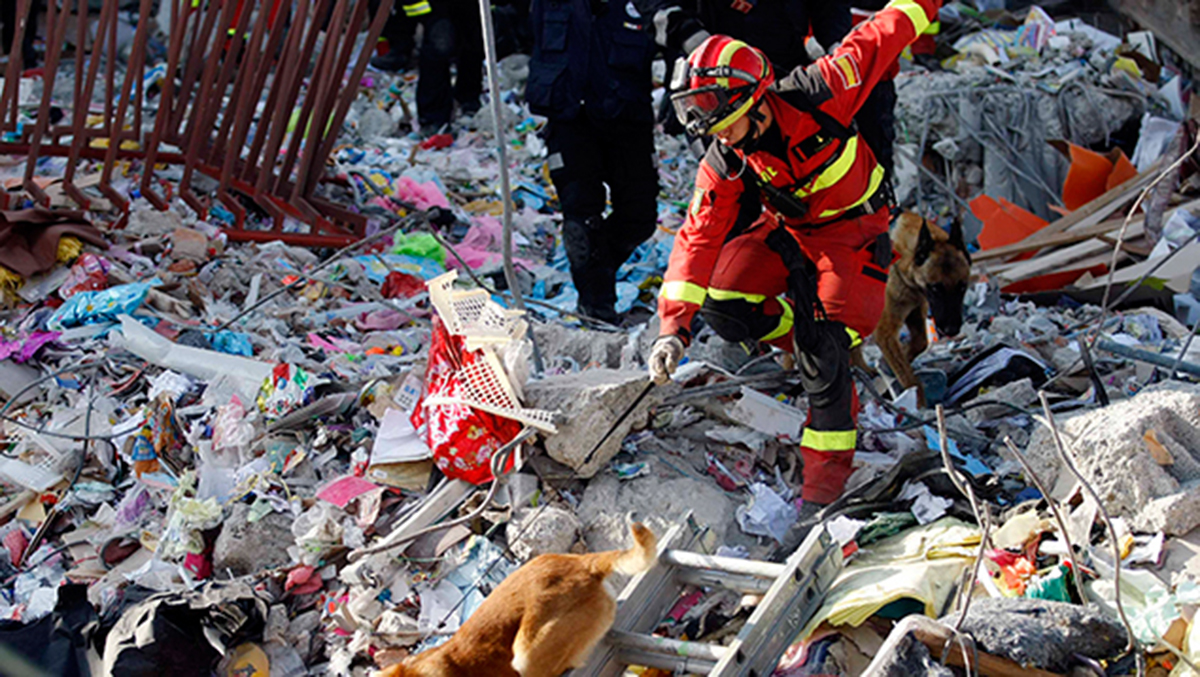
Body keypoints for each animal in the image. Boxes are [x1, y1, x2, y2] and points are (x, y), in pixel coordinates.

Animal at [878, 211, 969, 405]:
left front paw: (889, 364)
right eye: (935, 288)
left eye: (962, 287)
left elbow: (920, 343)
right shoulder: (885, 332)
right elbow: (909, 378)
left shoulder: (915, 311)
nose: (952, 330)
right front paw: (918, 404)